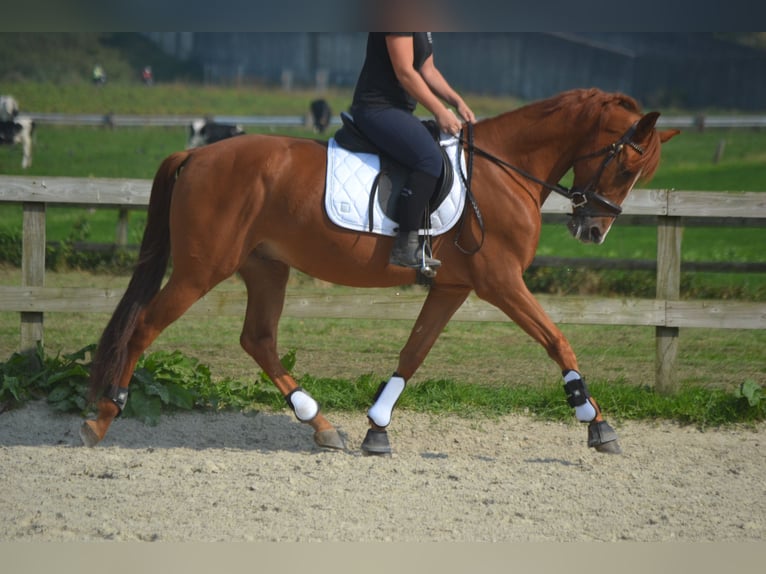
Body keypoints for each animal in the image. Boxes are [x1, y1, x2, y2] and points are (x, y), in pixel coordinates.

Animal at [81, 89, 680, 454]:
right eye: (627, 164)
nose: (592, 231)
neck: (503, 171)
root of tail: (196, 156)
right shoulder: (501, 282)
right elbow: (558, 340)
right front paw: (595, 422)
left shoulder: (455, 286)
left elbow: (413, 352)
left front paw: (377, 428)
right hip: (200, 270)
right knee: (144, 327)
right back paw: (102, 416)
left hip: (266, 267)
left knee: (259, 340)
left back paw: (321, 425)